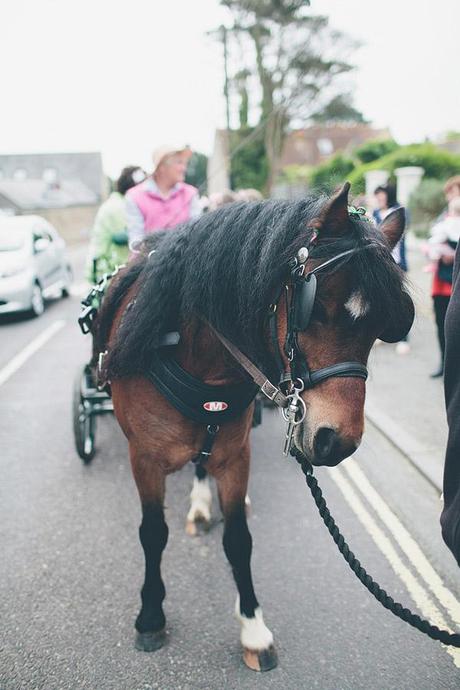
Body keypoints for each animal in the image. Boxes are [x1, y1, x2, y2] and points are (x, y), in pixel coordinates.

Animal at [92, 184, 414, 672]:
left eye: (382, 326)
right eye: (315, 309)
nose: (337, 441)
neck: (194, 357)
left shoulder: (234, 454)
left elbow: (239, 539)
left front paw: (253, 628)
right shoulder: (143, 458)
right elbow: (152, 533)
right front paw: (150, 616)